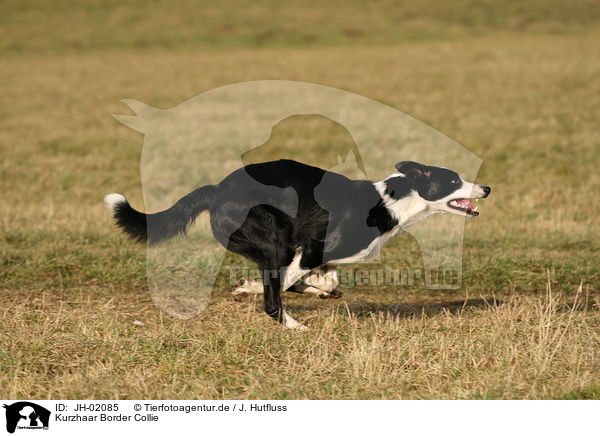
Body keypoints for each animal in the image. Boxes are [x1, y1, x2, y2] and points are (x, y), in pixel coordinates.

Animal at [105, 160, 490, 330]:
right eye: (453, 180)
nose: (486, 188)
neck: (390, 202)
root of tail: (217, 190)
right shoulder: (316, 247)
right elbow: (283, 284)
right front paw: (252, 289)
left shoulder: (320, 257)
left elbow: (326, 281)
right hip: (274, 238)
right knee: (273, 298)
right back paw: (293, 326)